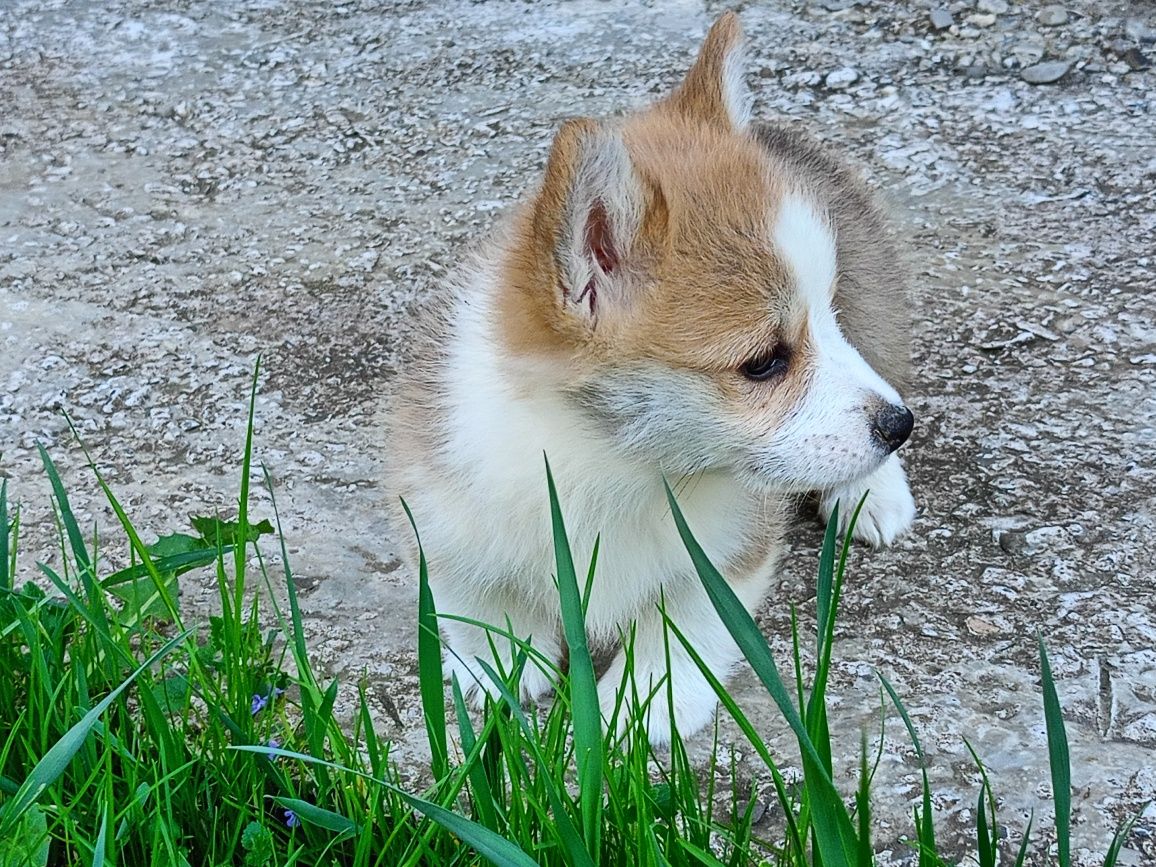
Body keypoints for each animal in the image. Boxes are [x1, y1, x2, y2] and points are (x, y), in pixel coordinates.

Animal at [388, 11, 910, 749]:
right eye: (763, 361)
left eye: (826, 316)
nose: (901, 426)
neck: (611, 464)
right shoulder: (435, 500)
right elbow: (471, 591)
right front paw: (501, 656)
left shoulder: (731, 548)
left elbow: (685, 620)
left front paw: (643, 700)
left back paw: (872, 494)